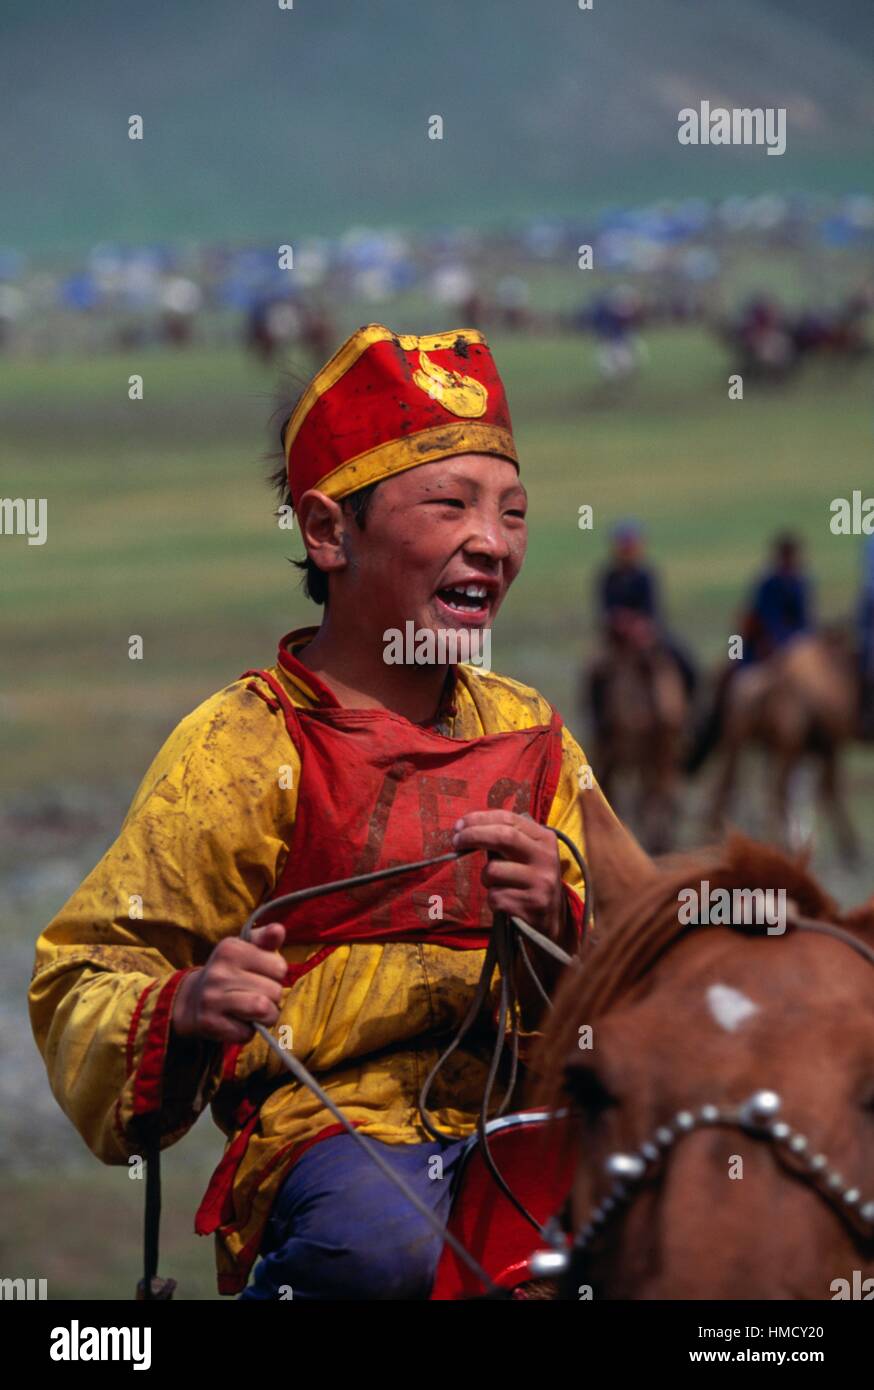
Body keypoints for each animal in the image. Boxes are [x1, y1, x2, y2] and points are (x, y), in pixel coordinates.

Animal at [705, 633, 855, 867]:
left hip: (738, 744)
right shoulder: (828, 748)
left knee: (727, 787)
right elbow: (828, 790)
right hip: (784, 749)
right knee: (777, 791)